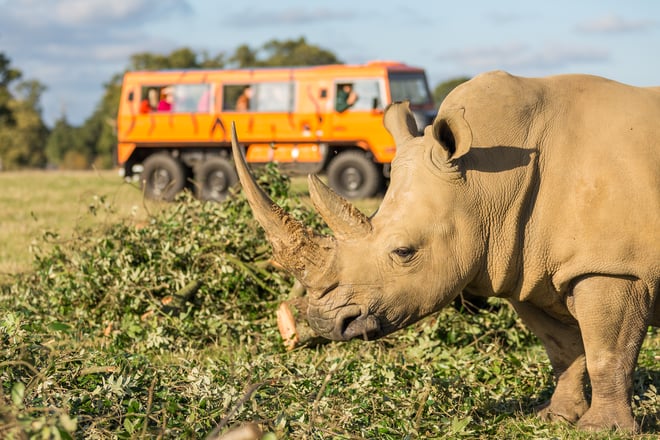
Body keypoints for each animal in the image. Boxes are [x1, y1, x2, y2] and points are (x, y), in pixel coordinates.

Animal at [230, 70, 660, 432]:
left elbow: (606, 352)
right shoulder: (526, 266)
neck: (489, 183)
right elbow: (564, 349)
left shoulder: (614, 267)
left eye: (404, 252)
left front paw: (600, 430)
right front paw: (555, 418)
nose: (323, 322)